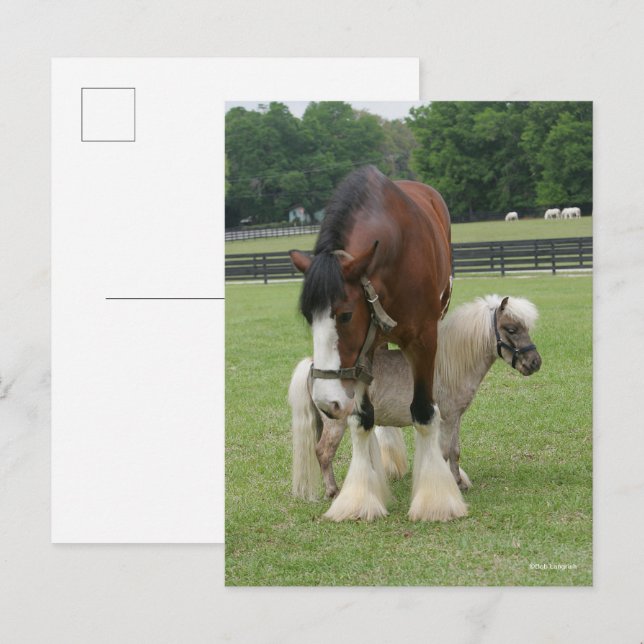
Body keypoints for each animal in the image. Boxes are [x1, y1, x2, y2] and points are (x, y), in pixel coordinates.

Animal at [289, 165, 457, 522]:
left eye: (345, 315)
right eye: (308, 316)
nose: (325, 402)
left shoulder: (424, 340)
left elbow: (424, 411)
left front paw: (435, 498)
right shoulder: (365, 351)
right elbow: (363, 417)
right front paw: (361, 496)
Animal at [290, 295, 542, 506]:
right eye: (511, 329)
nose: (535, 362)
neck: (448, 365)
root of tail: (314, 365)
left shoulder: (455, 417)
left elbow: (455, 451)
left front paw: (459, 482)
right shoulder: (446, 419)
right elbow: (444, 452)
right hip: (335, 423)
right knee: (323, 452)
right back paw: (333, 492)